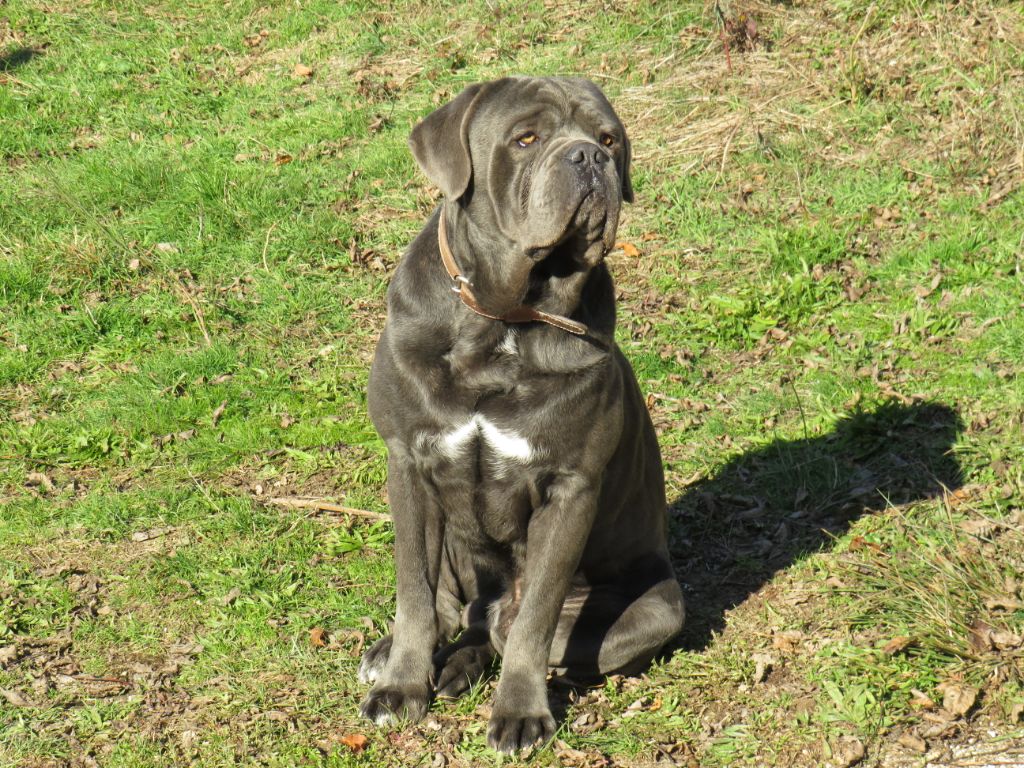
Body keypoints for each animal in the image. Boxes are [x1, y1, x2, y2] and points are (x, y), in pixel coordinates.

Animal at [356, 76, 684, 753]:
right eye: (526, 139)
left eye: (610, 138)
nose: (588, 157)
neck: (503, 321)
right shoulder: (408, 462)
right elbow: (414, 593)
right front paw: (401, 686)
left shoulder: (569, 489)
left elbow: (533, 619)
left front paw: (519, 712)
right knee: (453, 606)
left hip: (658, 606)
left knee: (509, 626)